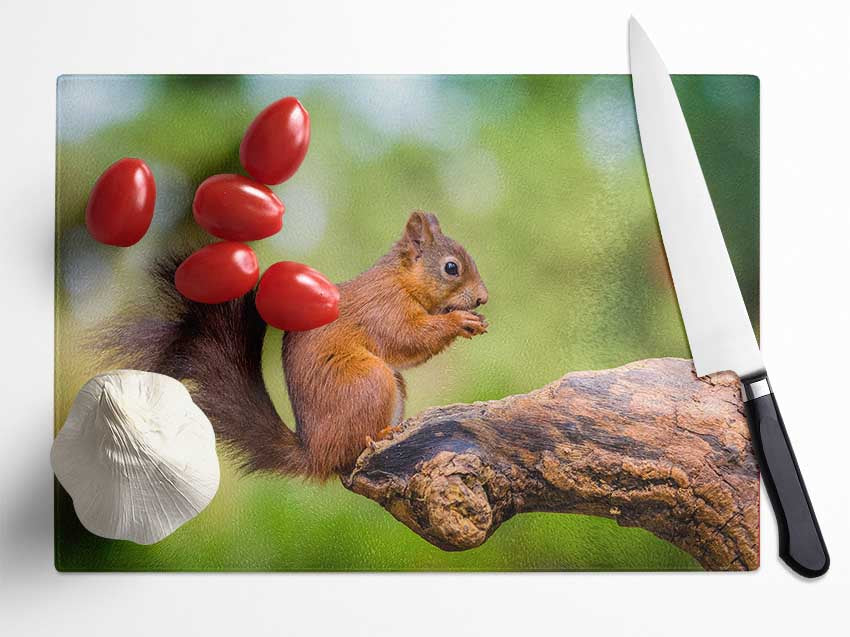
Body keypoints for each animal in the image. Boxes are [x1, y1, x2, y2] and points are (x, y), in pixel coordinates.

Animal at [109, 211, 486, 480]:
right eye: (451, 268)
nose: (483, 298)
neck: (401, 280)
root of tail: (314, 454)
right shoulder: (384, 309)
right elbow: (408, 339)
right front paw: (460, 322)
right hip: (368, 382)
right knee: (350, 453)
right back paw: (380, 436)